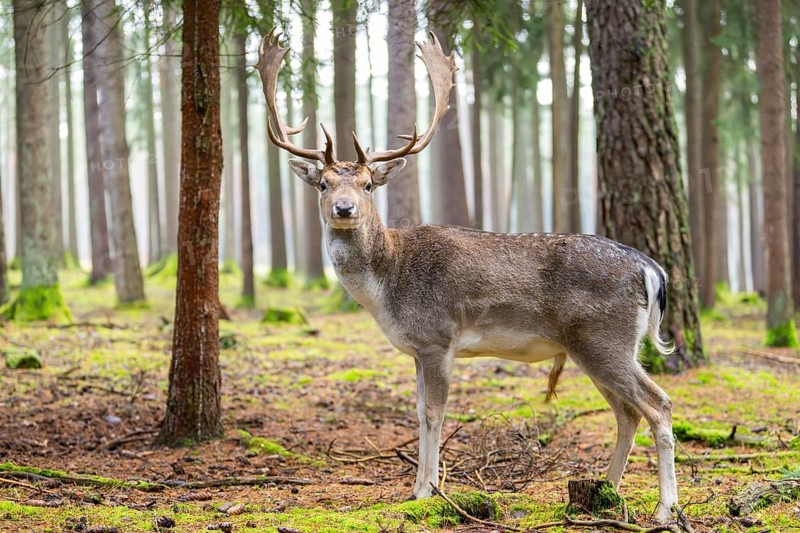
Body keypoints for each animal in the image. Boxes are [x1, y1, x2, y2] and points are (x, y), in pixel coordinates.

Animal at [255, 30, 679, 523]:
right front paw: (416, 488)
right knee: (628, 413)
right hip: (597, 347)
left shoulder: (437, 338)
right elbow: (419, 411)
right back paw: (603, 492)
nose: (344, 209)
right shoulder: (417, 349)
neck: (386, 286)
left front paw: (427, 491)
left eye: (367, 185)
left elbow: (435, 413)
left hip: (603, 339)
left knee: (658, 405)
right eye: (323, 184)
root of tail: (651, 269)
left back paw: (664, 509)